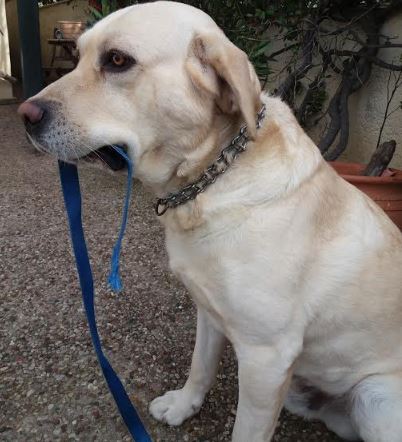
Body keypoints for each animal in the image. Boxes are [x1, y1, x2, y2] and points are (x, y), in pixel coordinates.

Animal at [18, 2, 402, 441]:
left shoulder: (267, 358)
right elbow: (199, 366)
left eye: (116, 60)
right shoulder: (209, 311)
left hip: (374, 399)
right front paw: (184, 406)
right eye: (78, 55)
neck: (210, 181)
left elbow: (247, 430)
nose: (25, 115)